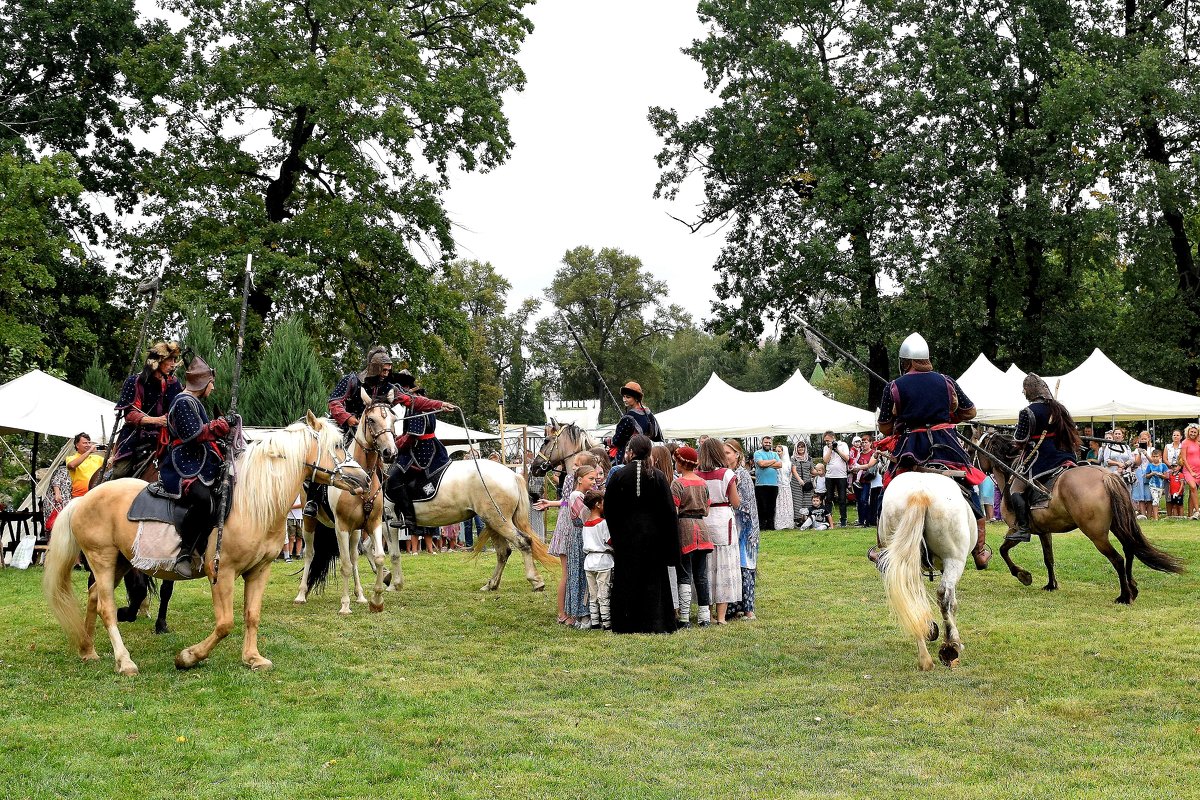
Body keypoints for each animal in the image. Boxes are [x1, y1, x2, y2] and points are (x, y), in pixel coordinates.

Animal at [43, 412, 364, 676]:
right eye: (338, 445)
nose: (362, 479)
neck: (252, 503)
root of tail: (83, 499)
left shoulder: (259, 570)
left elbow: (252, 616)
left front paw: (253, 658)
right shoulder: (222, 572)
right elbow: (225, 624)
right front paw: (188, 657)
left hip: (120, 561)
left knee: (94, 597)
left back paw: (88, 650)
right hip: (102, 559)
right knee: (106, 607)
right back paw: (124, 661)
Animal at [296, 391, 400, 618]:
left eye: (393, 420)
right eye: (371, 420)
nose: (390, 452)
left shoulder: (373, 523)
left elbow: (378, 557)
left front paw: (376, 600)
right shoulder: (341, 527)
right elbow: (343, 564)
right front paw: (344, 605)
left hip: (356, 532)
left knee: (354, 557)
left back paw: (360, 595)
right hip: (309, 522)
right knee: (310, 554)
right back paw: (301, 594)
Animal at [878, 472, 979, 671]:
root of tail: (919, 494)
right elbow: (952, 603)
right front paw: (956, 641)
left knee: (912, 600)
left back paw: (925, 659)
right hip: (954, 560)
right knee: (943, 597)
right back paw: (950, 647)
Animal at [979, 434, 1185, 604]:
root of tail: (1105, 476)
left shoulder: (1016, 530)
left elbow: (1003, 550)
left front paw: (1023, 575)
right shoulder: (1044, 532)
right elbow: (1048, 558)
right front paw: (1051, 585)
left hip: (1096, 534)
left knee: (1117, 559)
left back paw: (1124, 596)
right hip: (1117, 525)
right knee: (1129, 550)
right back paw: (1132, 588)